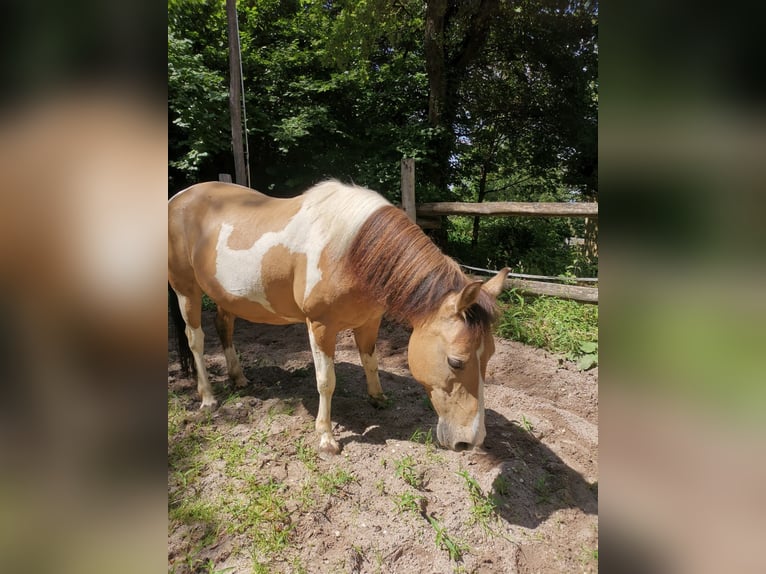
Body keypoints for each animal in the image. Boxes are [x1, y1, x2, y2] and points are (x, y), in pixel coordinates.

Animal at [171, 181, 512, 460]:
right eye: (456, 361)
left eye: (489, 357)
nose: (470, 442)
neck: (351, 252)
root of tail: (178, 198)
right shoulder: (321, 326)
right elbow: (326, 381)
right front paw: (326, 438)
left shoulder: (369, 322)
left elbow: (370, 360)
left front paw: (378, 398)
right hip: (186, 291)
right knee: (196, 341)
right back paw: (208, 397)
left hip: (225, 295)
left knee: (224, 328)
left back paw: (238, 378)